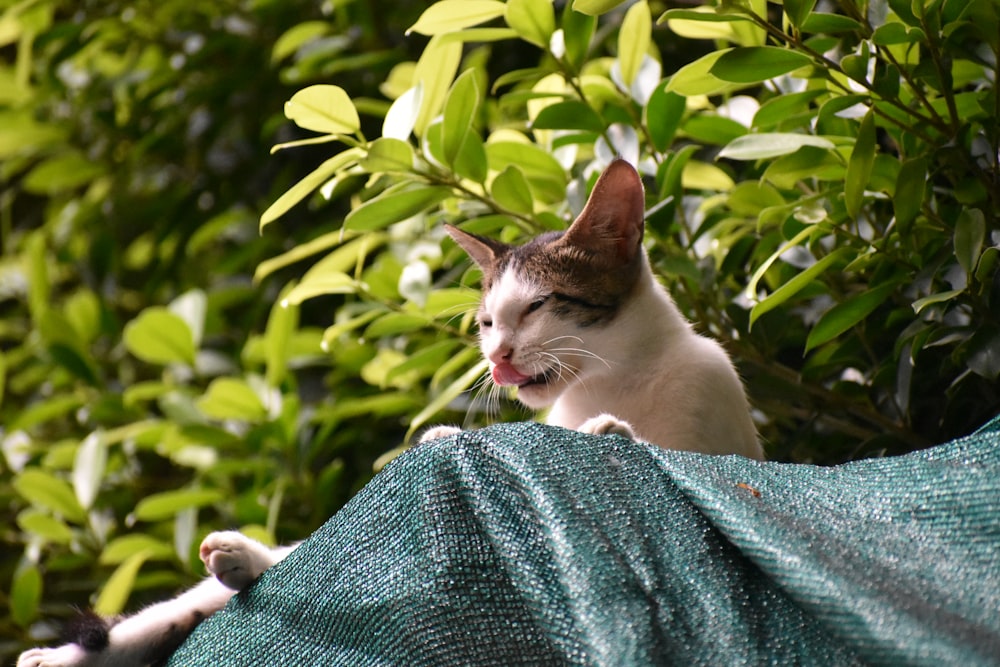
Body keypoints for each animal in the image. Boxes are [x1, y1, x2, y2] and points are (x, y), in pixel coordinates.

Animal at [15, 158, 760, 667]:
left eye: (537, 306)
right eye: (488, 322)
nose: (496, 357)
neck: (611, 381)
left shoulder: (717, 429)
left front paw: (609, 431)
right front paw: (455, 431)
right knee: (207, 597)